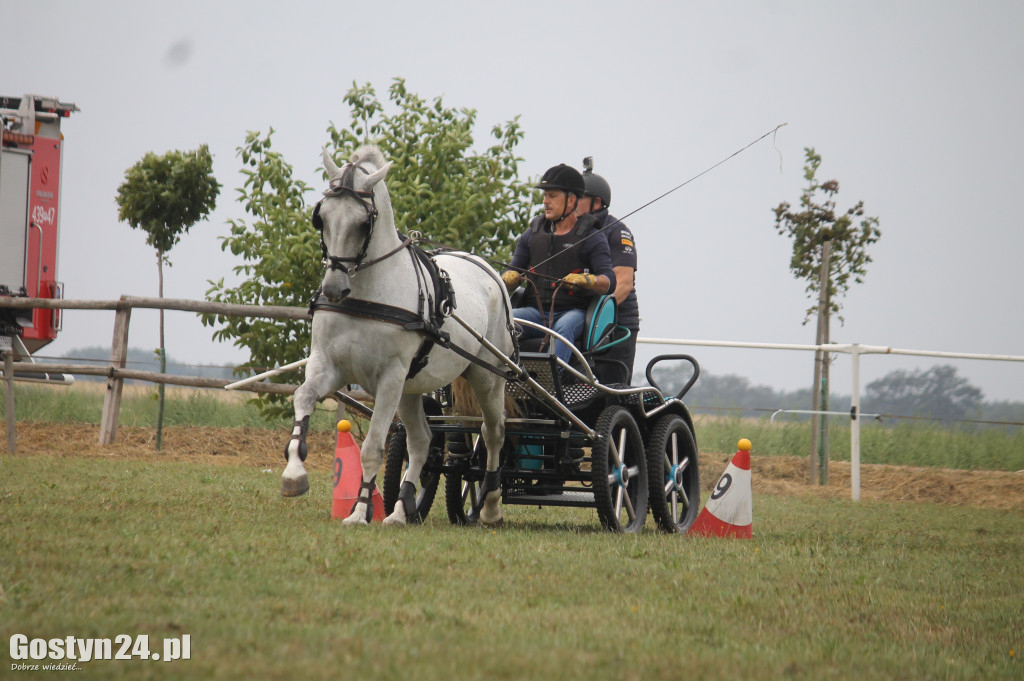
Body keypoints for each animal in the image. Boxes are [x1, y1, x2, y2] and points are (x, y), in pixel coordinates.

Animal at [284, 143, 516, 524]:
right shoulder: (329, 365)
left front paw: (360, 512)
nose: (333, 289)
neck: (365, 296)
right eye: (322, 217)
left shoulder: (389, 377)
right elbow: (303, 398)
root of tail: (489, 271)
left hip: (487, 376)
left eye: (363, 222)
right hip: (412, 387)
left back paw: (492, 506)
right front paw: (294, 474)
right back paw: (400, 509)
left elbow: (372, 445)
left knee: (492, 432)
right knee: (422, 440)